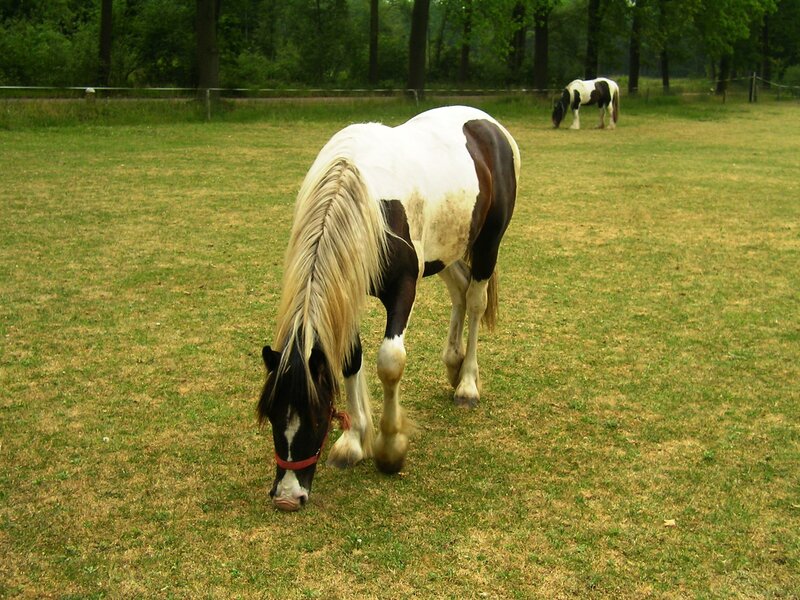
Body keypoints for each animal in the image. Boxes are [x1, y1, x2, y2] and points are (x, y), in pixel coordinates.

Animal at [257, 105, 520, 511]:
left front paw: (390, 448)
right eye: (271, 415)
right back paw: (453, 363)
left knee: (475, 302)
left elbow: (390, 362)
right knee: (460, 292)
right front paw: (353, 442)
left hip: (487, 245)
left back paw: (467, 384)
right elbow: (350, 359)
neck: (364, 195)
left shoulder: (403, 288)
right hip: (443, 253)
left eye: (316, 417)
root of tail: (489, 125)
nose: (287, 497)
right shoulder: (349, 287)